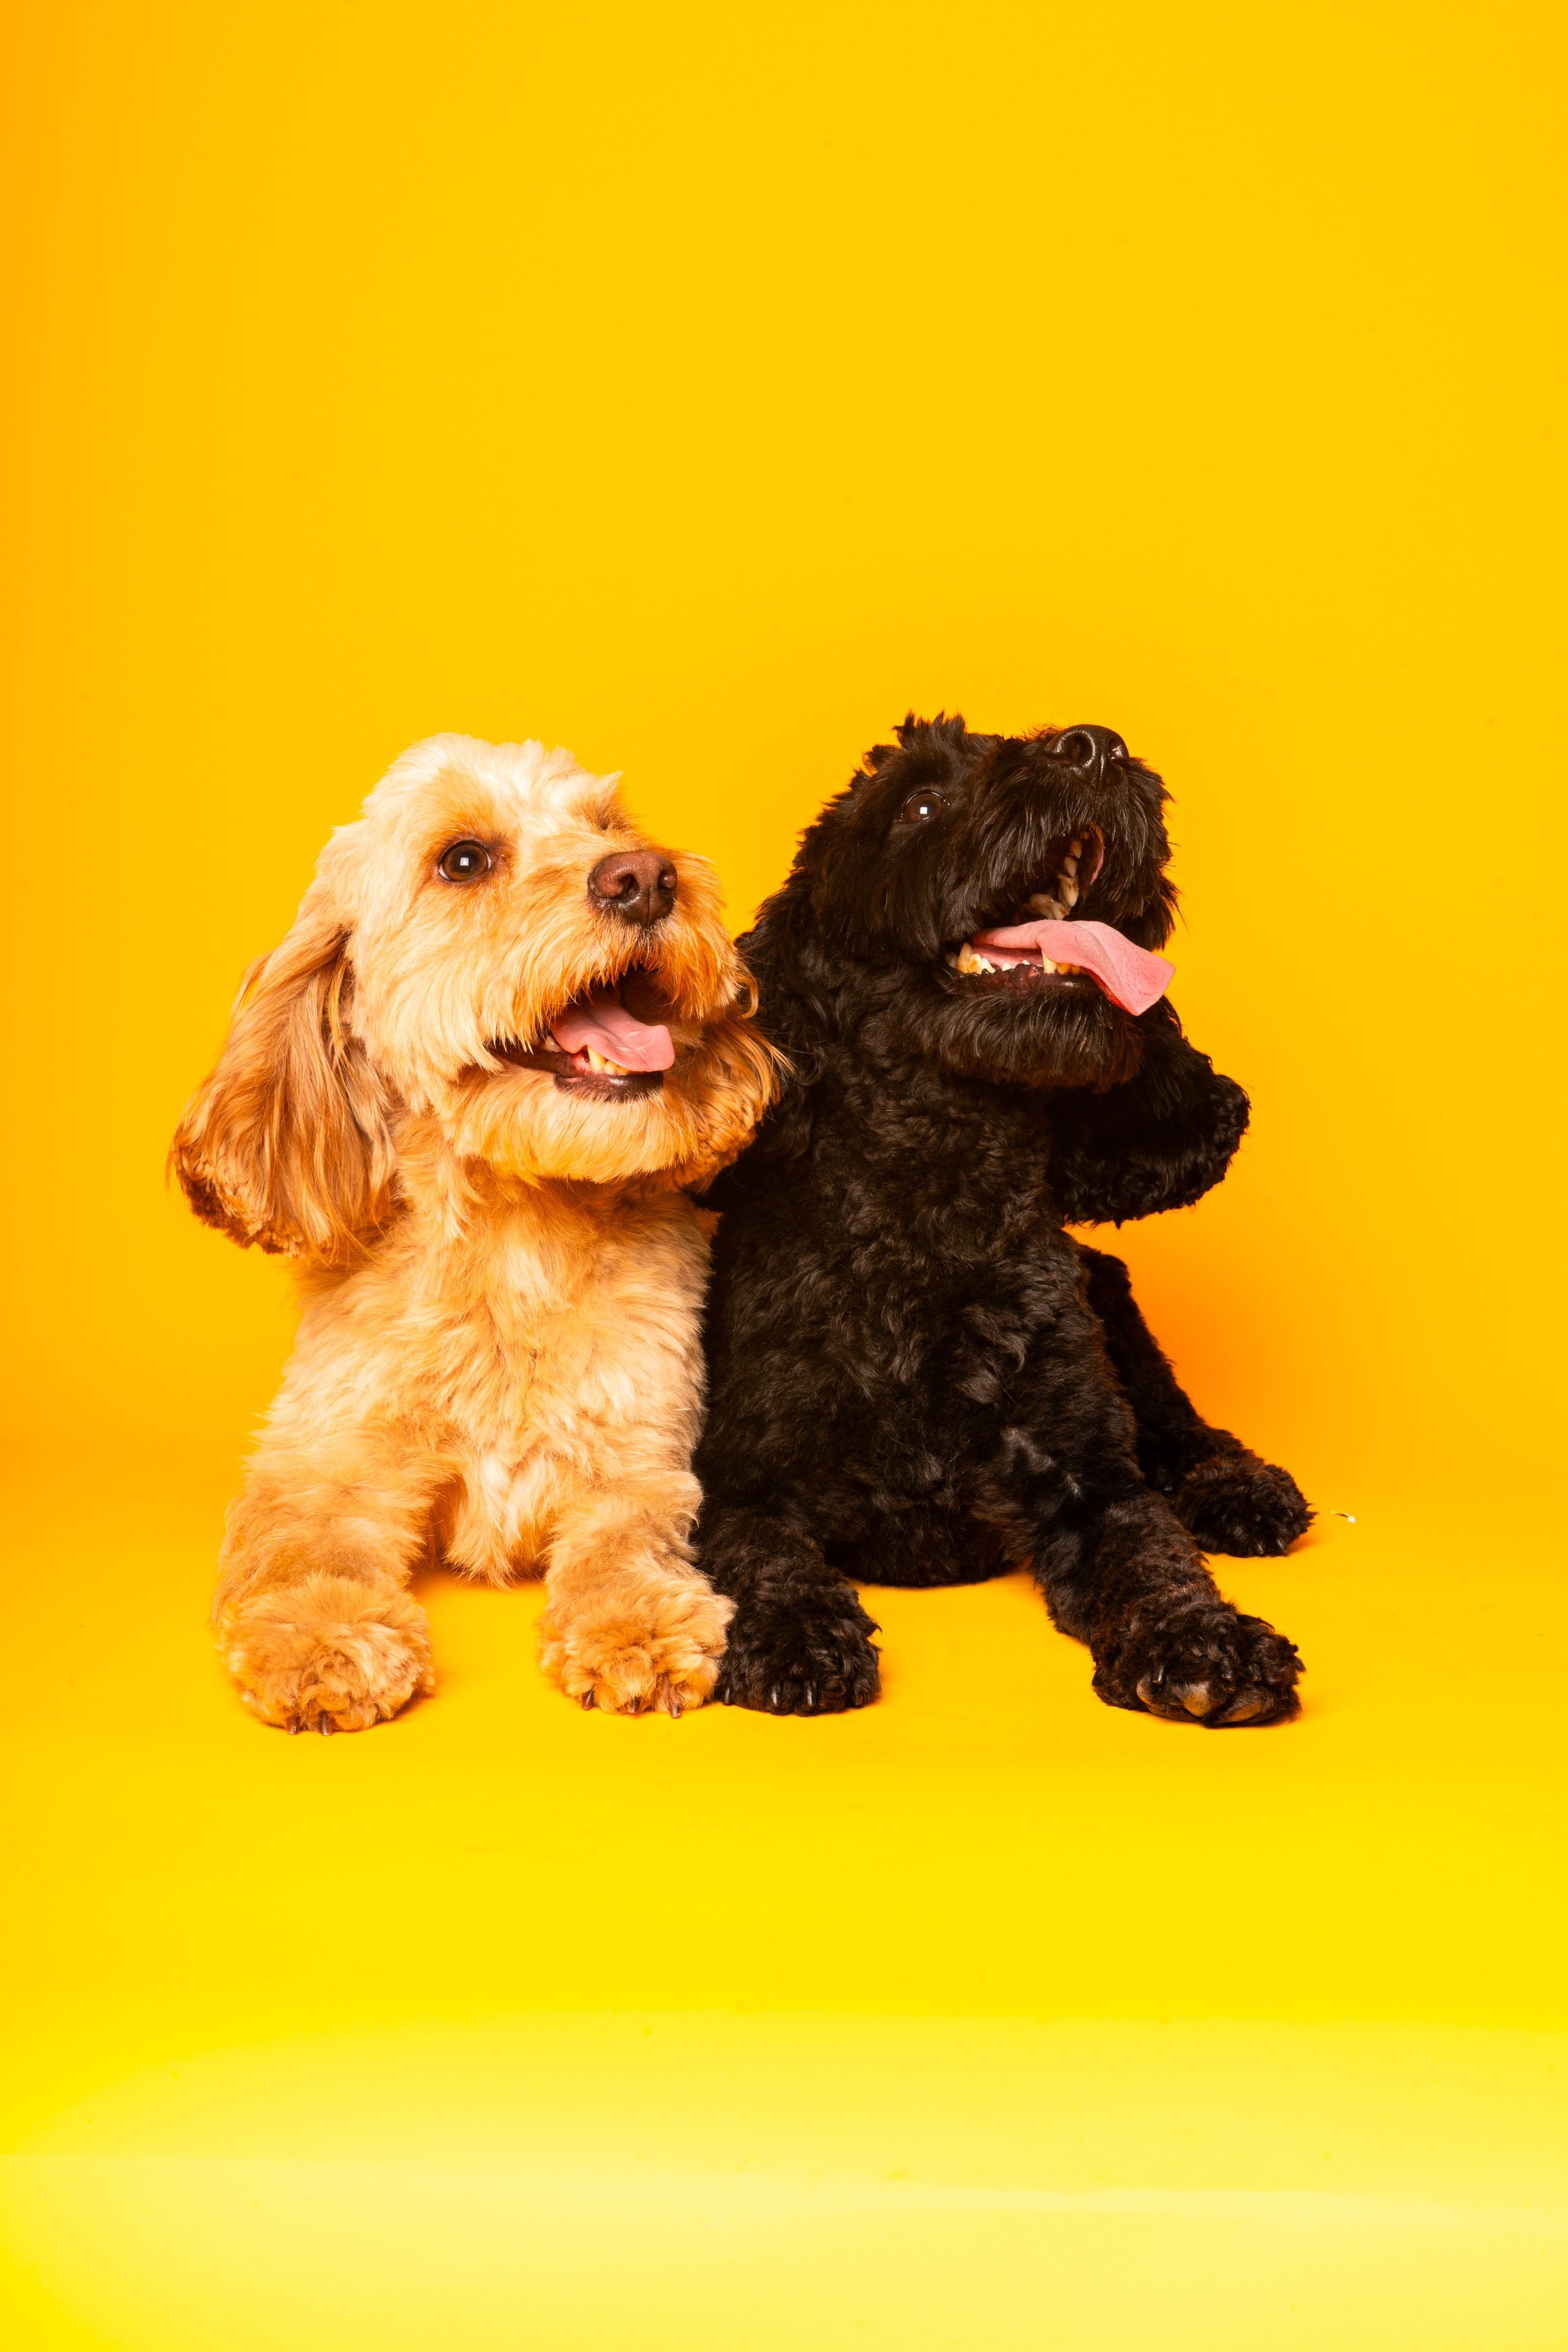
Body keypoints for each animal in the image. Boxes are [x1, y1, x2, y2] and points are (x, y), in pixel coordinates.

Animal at [173, 734, 775, 1730]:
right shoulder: (325, 1457)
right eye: (463, 860)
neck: (510, 1241)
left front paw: (635, 1625)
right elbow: (302, 1546)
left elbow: (626, 1538)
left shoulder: (641, 1451)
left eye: (608, 827)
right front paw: (323, 1639)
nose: (646, 877)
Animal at [696, 714, 1310, 1725]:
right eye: (918, 804)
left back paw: (1237, 1486)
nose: (1096, 746)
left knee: (1178, 1424)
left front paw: (1204, 1640)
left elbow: (1154, 1555)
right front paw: (798, 1636)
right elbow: (766, 1560)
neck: (934, 1212)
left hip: (1113, 1305)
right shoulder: (729, 1487)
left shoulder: (1091, 1480)